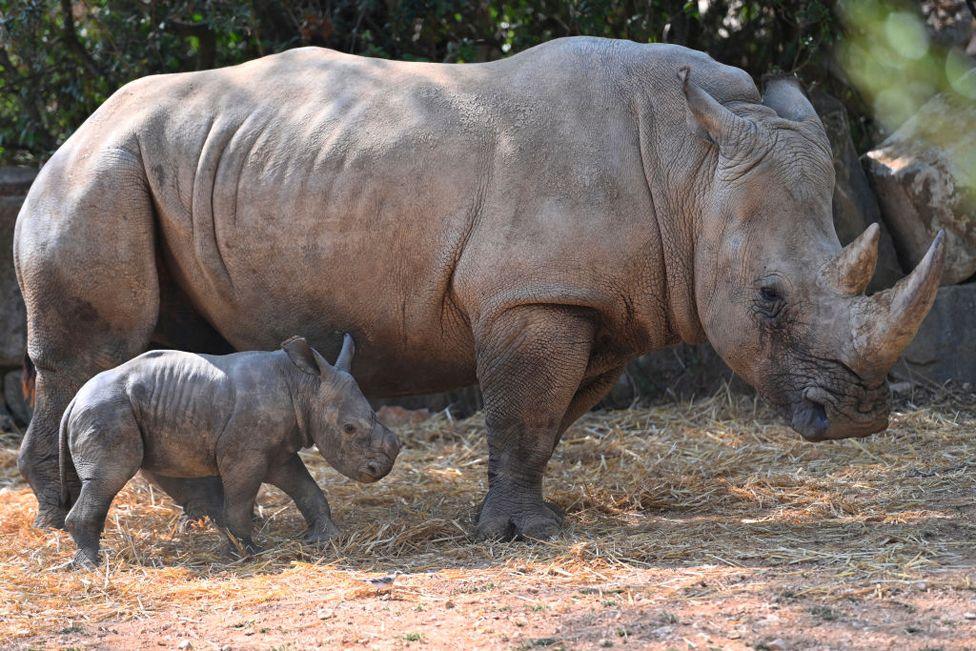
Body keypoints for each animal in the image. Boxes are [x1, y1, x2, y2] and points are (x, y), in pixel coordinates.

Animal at [58, 336, 400, 564]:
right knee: (109, 477)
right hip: (106, 409)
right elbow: (241, 499)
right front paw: (249, 552)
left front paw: (327, 538)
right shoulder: (245, 453)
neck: (305, 386)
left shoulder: (279, 451)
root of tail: (74, 399)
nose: (381, 469)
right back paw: (89, 565)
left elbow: (306, 488)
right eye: (349, 429)